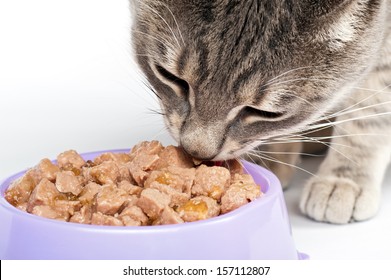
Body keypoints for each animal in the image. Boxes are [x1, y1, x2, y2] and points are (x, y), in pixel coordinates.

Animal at [131, 0, 391, 223]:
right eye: (169, 76)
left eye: (267, 113)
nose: (196, 151)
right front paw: (272, 158)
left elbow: (369, 114)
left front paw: (345, 177)